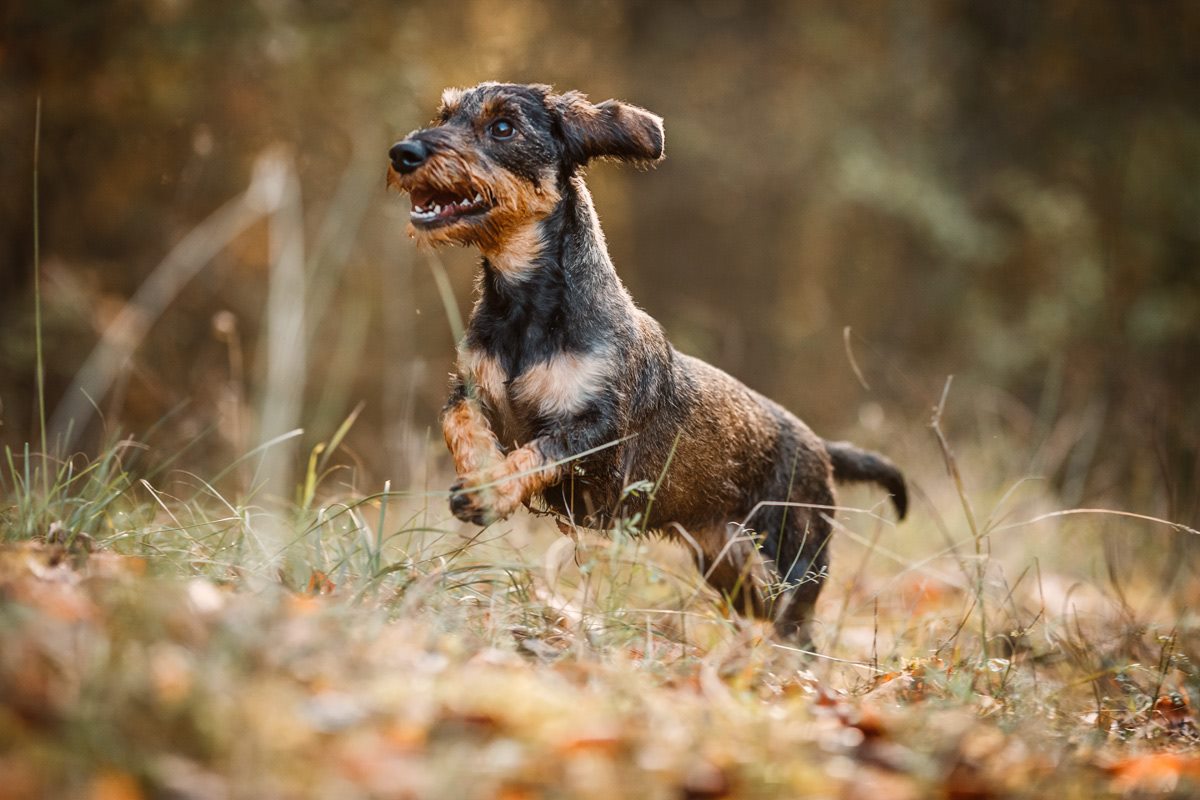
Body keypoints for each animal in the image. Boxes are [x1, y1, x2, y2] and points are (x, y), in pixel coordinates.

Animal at [388, 82, 902, 642]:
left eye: (503, 127)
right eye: (444, 115)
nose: (403, 153)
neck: (527, 307)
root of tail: (820, 448)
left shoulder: (598, 431)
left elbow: (539, 452)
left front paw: (491, 489)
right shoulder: (469, 388)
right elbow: (460, 424)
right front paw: (482, 473)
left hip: (791, 562)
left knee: (797, 628)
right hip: (728, 559)